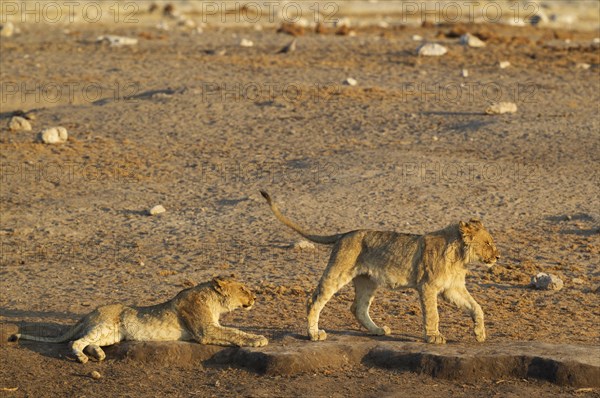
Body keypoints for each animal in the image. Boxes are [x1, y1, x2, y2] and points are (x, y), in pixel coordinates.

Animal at [10, 278, 268, 362]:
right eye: (243, 288)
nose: (256, 297)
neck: (214, 302)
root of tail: (90, 312)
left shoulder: (213, 326)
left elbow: (236, 331)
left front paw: (257, 337)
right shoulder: (205, 331)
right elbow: (233, 333)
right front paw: (258, 340)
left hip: (112, 335)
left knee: (88, 342)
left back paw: (98, 354)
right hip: (103, 325)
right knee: (76, 342)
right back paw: (83, 358)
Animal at [260, 191, 500, 344]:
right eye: (488, 243)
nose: (498, 256)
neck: (460, 258)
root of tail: (345, 233)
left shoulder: (452, 288)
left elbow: (476, 307)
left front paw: (479, 334)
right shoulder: (428, 286)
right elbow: (433, 314)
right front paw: (433, 337)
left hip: (368, 281)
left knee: (358, 307)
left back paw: (377, 330)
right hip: (337, 272)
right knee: (314, 300)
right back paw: (314, 334)